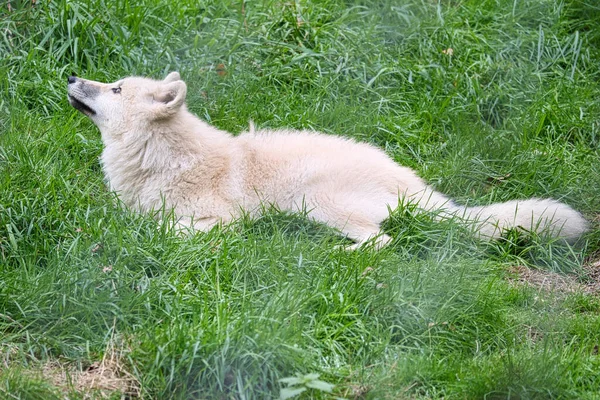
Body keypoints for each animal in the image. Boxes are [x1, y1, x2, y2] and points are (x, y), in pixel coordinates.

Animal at [68, 71, 588, 247]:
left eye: (116, 89)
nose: (72, 77)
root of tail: (419, 188)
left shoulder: (222, 219)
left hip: (314, 202)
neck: (163, 155)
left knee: (381, 242)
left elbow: (164, 229)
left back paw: (339, 256)